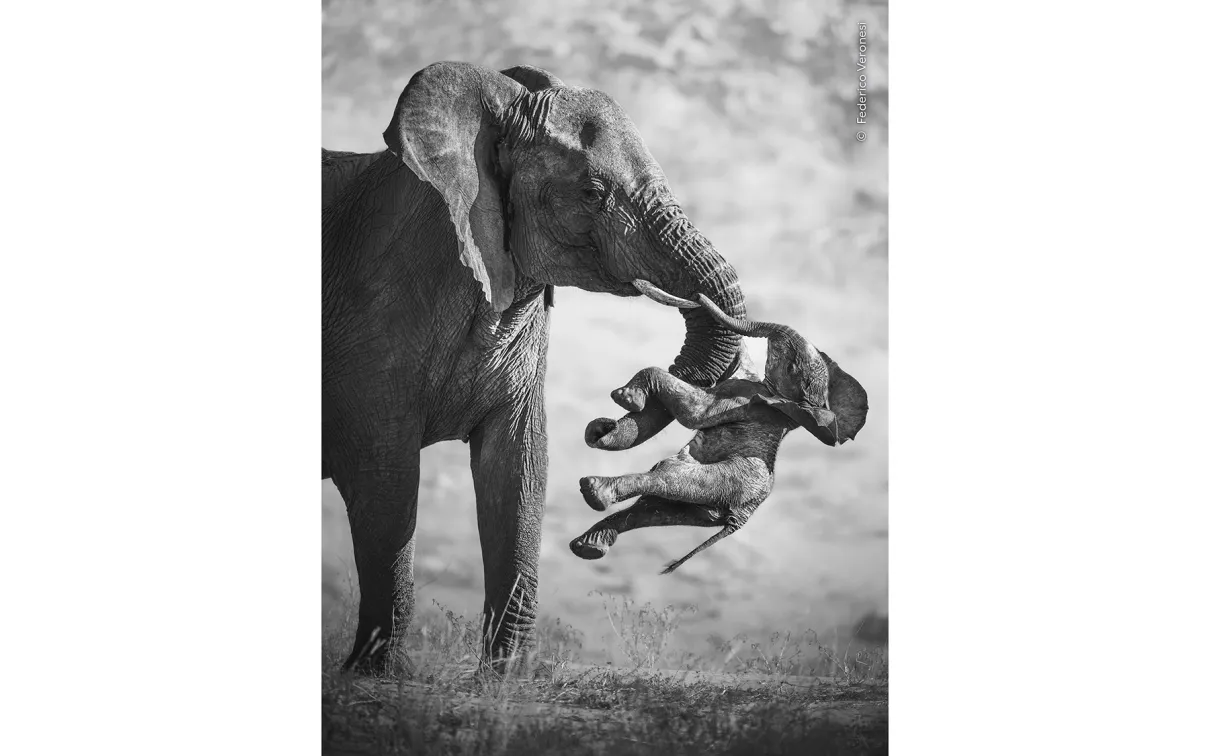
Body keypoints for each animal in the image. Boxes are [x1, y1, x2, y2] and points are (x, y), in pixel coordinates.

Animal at [322, 62, 750, 673]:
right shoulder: (372, 323)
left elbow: (519, 469)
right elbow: (387, 482)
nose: (607, 417)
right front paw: (378, 677)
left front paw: (506, 680)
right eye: (593, 192)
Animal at [572, 286, 868, 573]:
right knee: (653, 508)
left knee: (667, 477)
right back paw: (588, 545)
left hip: (726, 482)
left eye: (791, 365)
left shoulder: (743, 398)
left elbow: (694, 413)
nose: (697, 296)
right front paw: (601, 428)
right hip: (707, 505)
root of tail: (740, 518)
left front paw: (626, 399)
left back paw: (594, 492)